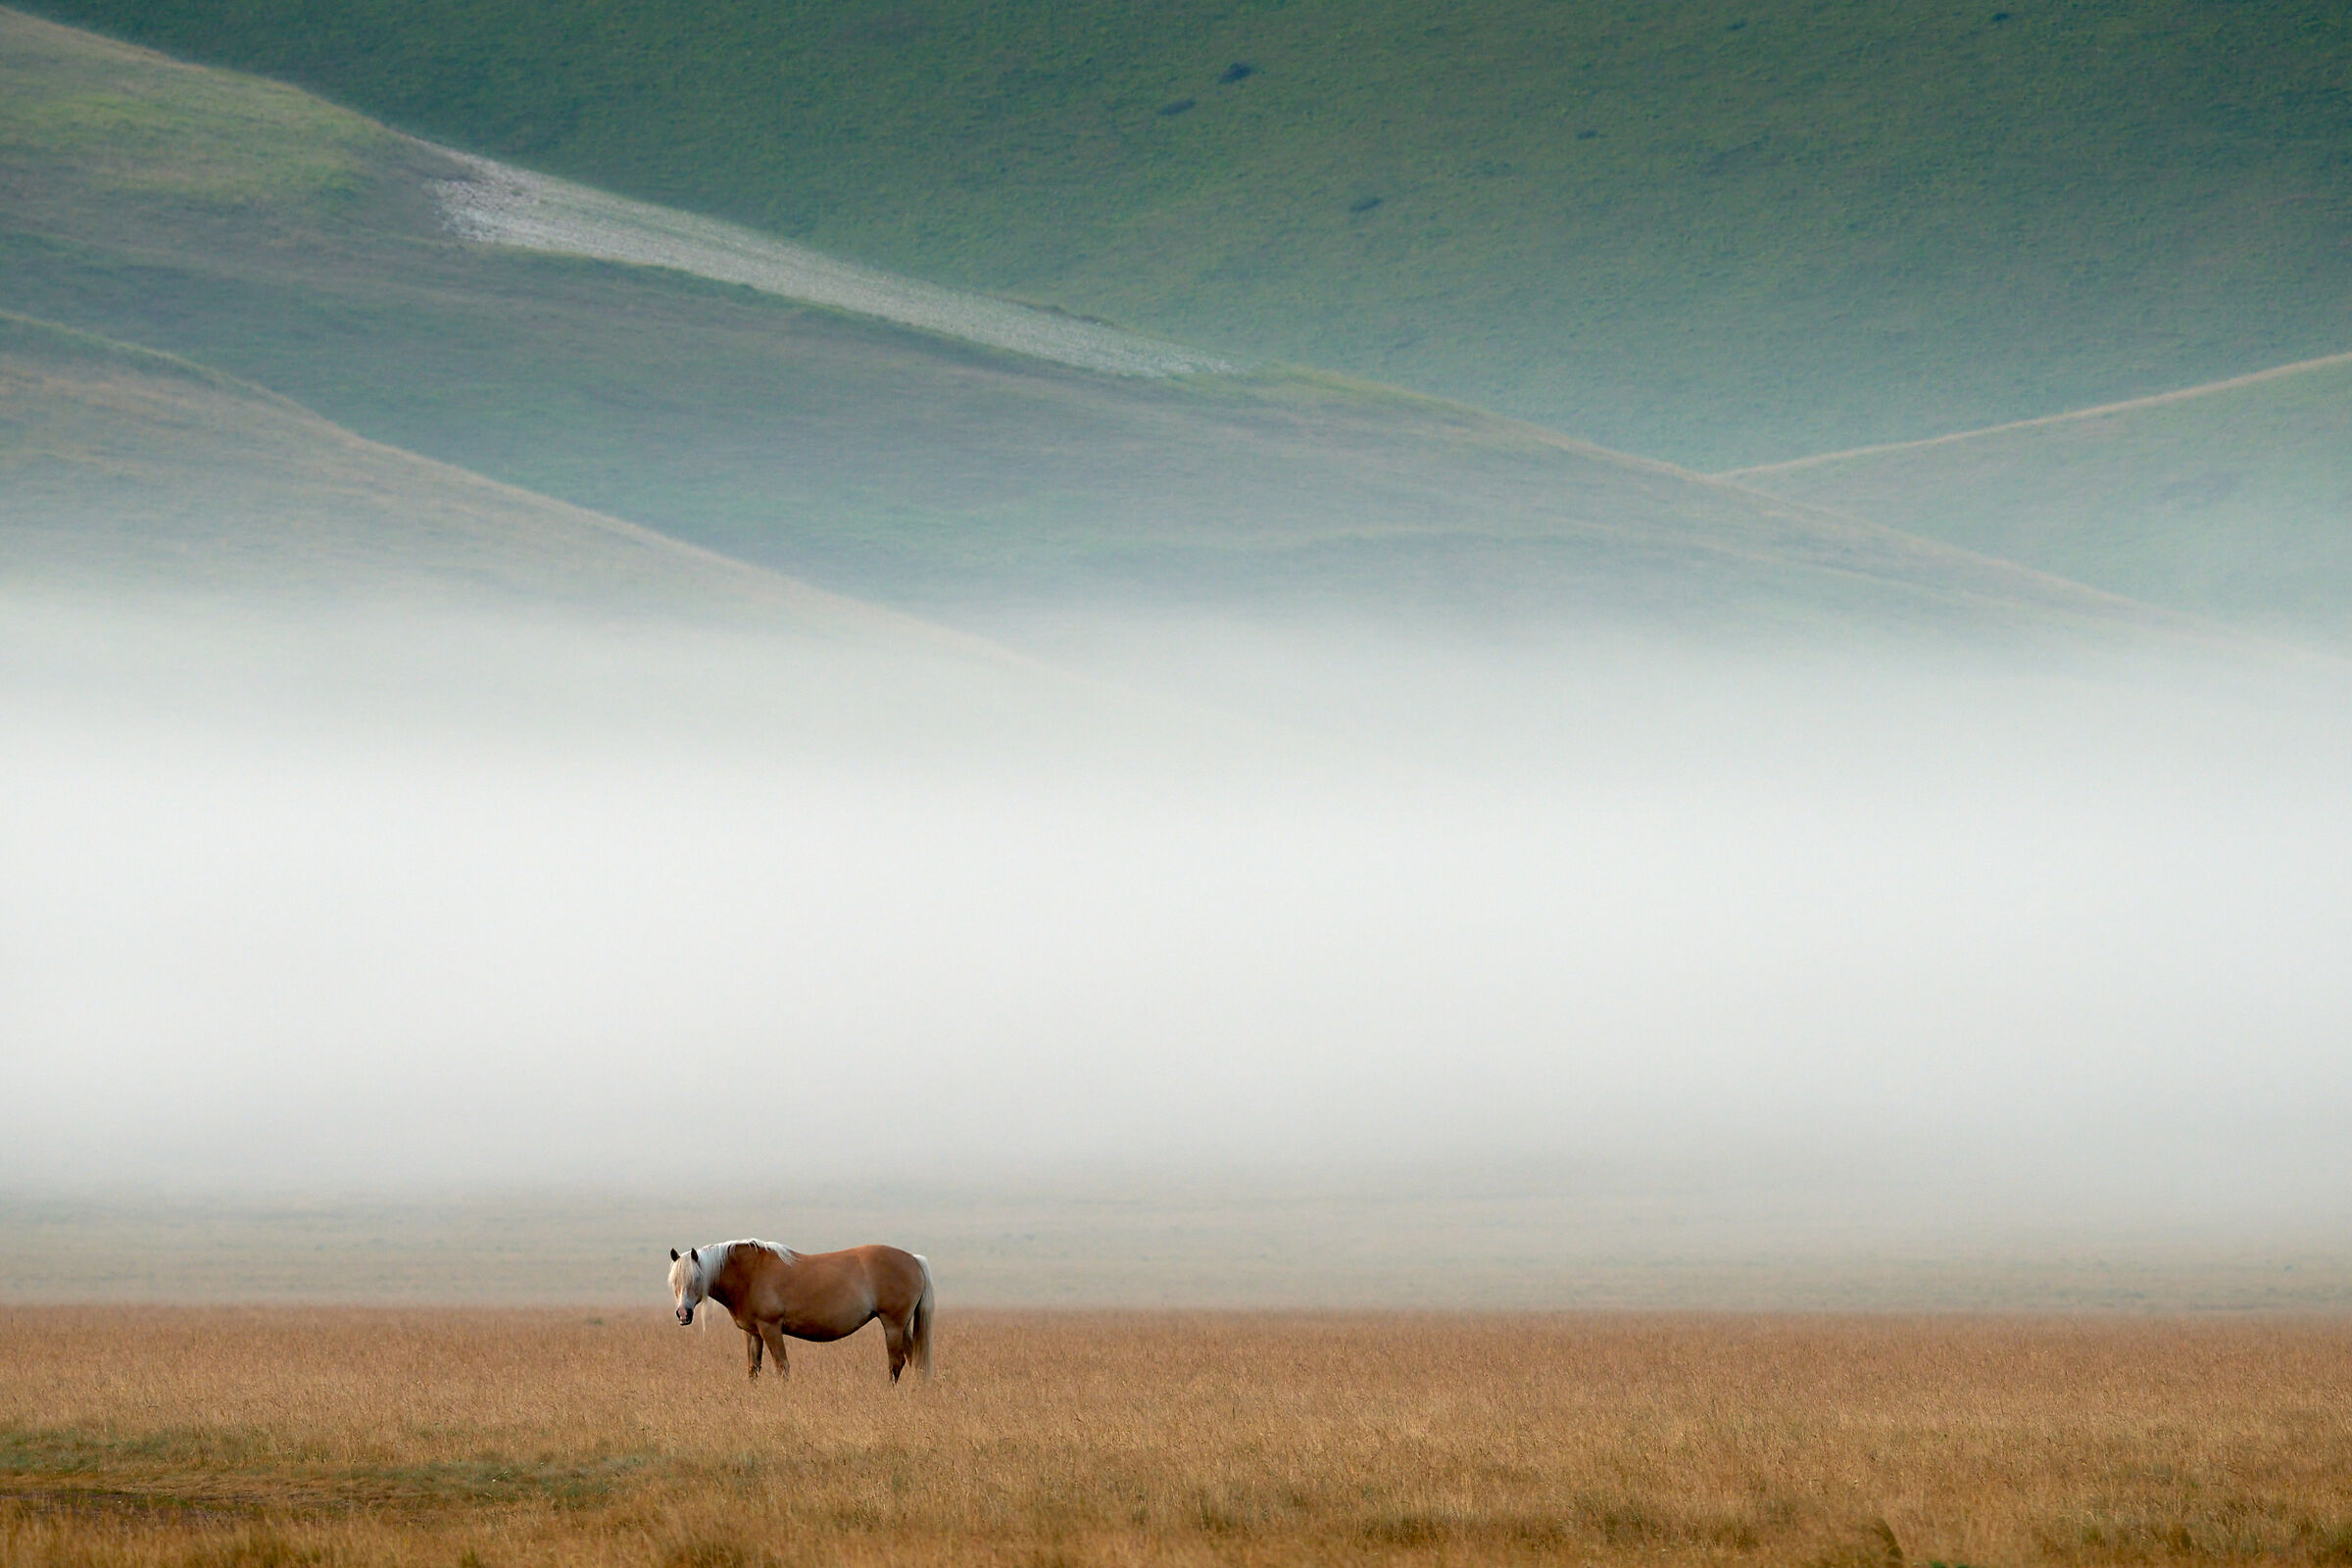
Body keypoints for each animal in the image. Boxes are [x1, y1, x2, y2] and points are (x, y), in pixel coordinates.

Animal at [667, 1239, 934, 1383]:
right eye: (674, 1282)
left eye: (697, 1278)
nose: (683, 1315)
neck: (750, 1274)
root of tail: (913, 1258)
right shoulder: (752, 1333)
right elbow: (753, 1369)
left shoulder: (771, 1328)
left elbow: (782, 1367)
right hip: (903, 1326)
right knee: (915, 1360)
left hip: (893, 1324)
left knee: (896, 1363)